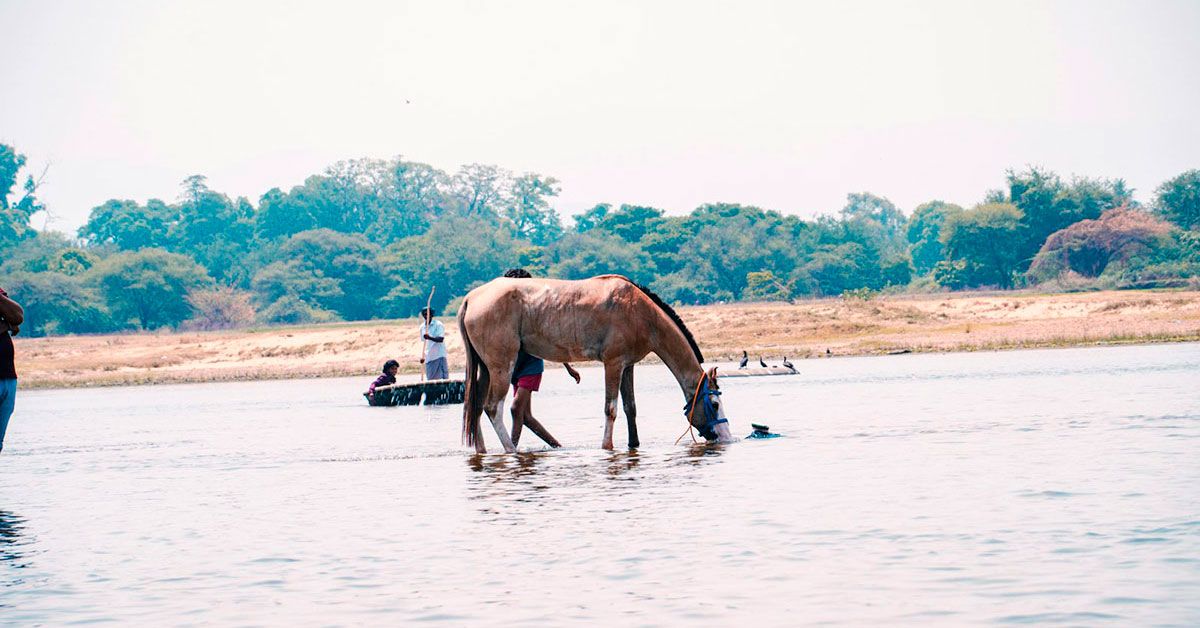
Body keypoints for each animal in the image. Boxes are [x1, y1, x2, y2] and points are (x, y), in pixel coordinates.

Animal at [458, 274, 735, 453]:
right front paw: (607, 447)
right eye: (714, 404)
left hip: (486, 369)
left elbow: (630, 408)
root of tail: (471, 298)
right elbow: (611, 409)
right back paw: (510, 450)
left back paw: (481, 451)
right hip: (501, 368)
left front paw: (633, 446)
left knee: (475, 407)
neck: (641, 312)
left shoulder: (628, 366)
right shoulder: (613, 363)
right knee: (492, 407)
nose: (726, 438)